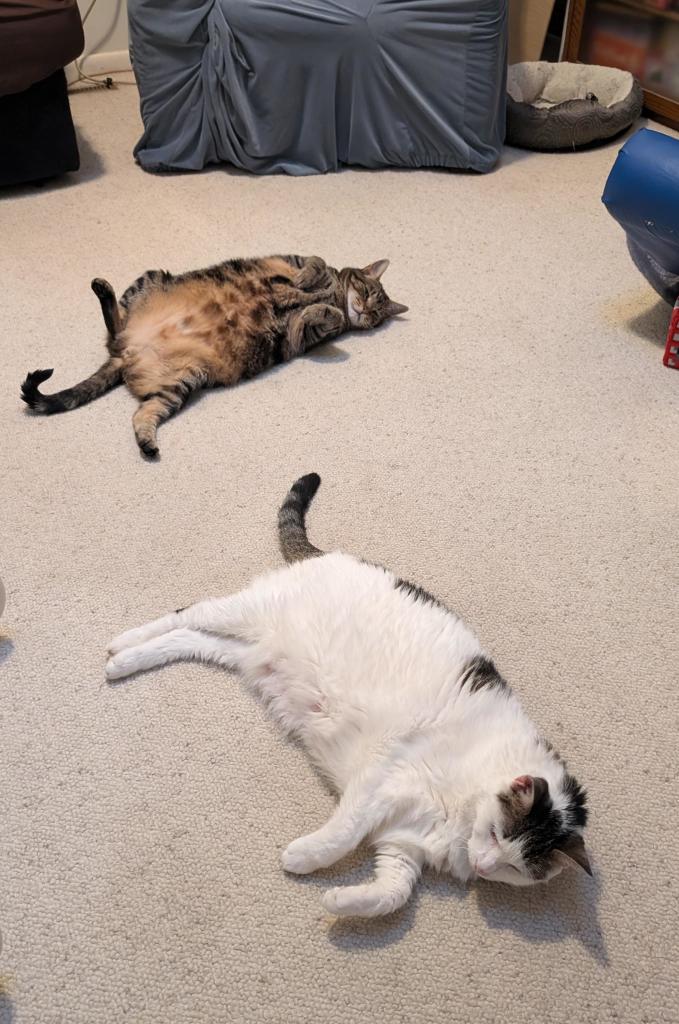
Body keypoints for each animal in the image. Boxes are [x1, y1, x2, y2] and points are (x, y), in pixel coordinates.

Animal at [21, 258, 405, 458]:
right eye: (368, 291)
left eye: (376, 315)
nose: (365, 310)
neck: (336, 296)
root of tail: (128, 351)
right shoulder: (299, 264)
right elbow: (315, 265)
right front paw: (304, 281)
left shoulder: (306, 336)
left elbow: (322, 316)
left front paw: (318, 307)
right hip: (151, 279)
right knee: (115, 323)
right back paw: (103, 290)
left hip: (181, 382)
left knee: (141, 413)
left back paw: (147, 443)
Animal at [104, 473, 589, 921]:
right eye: (496, 835)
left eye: (514, 867)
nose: (485, 866)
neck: (472, 793)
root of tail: (331, 554)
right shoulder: (379, 782)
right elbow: (344, 834)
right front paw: (300, 857)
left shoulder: (403, 847)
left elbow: (392, 896)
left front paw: (339, 902)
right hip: (245, 612)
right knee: (187, 612)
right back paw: (118, 646)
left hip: (244, 649)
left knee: (187, 637)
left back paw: (126, 660)